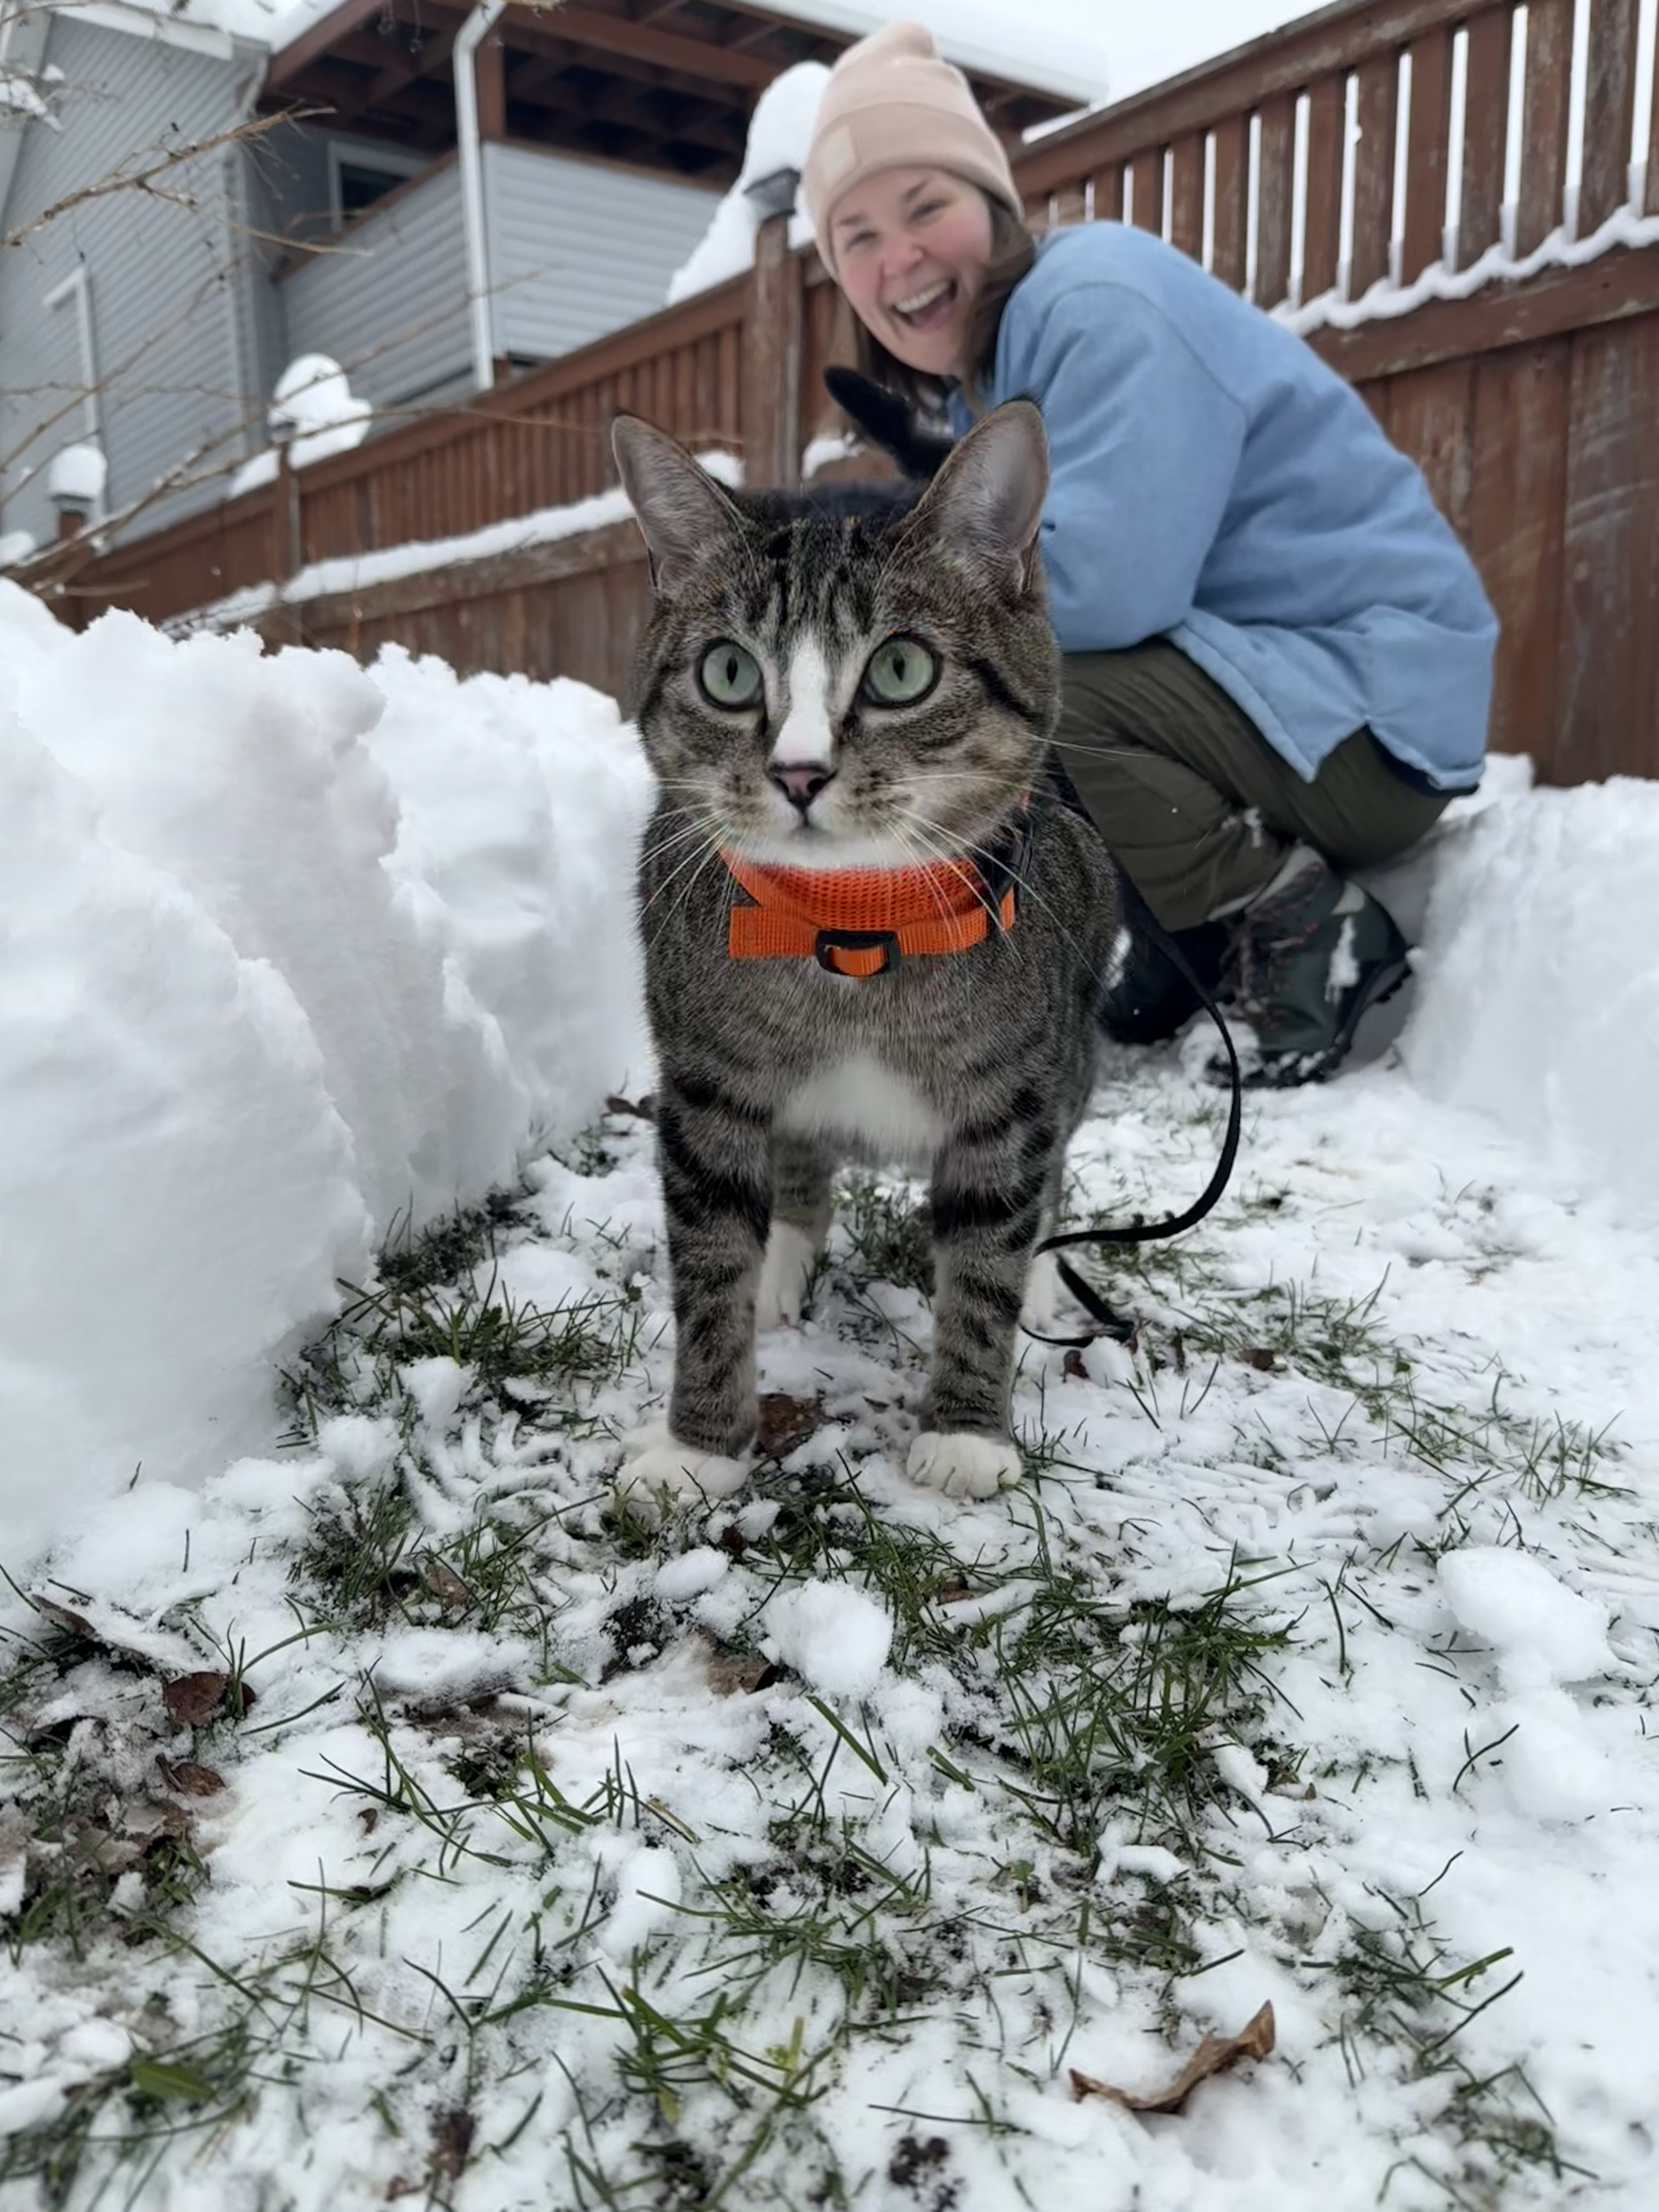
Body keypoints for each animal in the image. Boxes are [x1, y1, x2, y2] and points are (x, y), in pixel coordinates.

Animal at [619, 407, 1123, 1513]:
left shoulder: (1013, 1099)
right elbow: (710, 1258)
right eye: (728, 672)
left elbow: (986, 1254)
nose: (799, 773)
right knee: (799, 1163)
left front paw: (966, 1432)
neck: (852, 927)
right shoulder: (703, 1082)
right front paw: (698, 1445)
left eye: (901, 671)